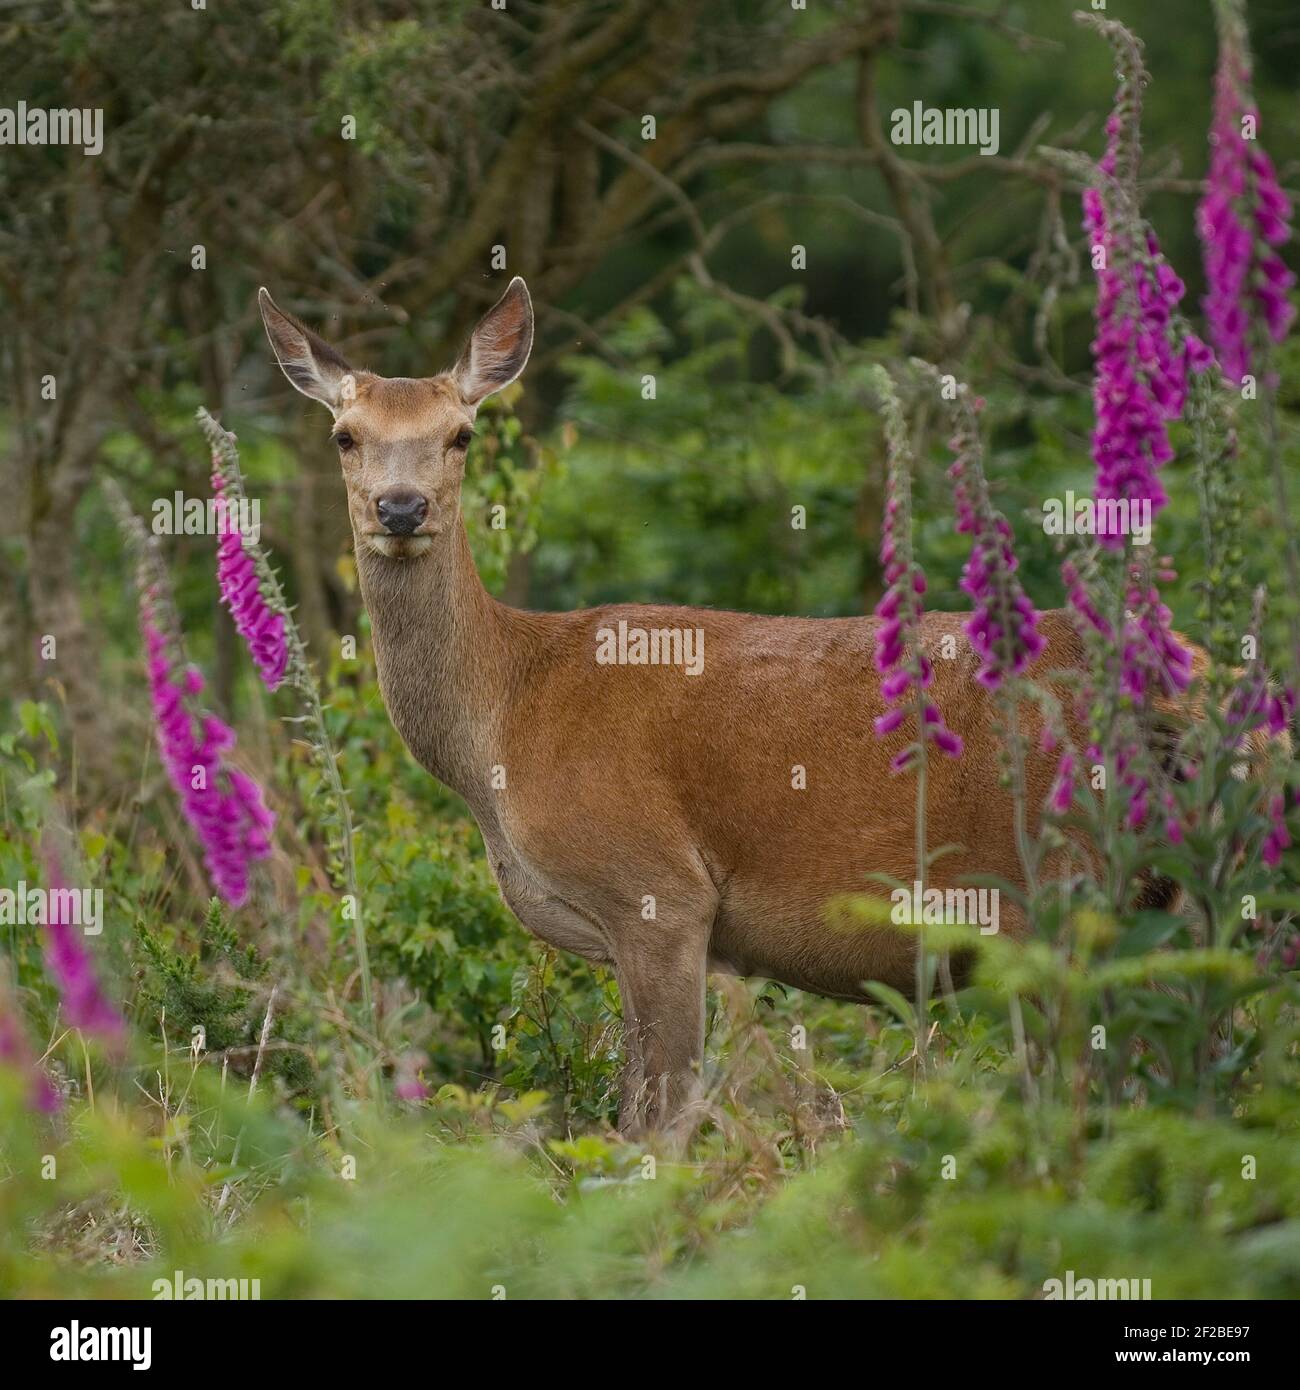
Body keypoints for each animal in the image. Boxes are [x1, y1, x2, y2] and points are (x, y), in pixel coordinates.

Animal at [257, 276, 1212, 1134]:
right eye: (345, 435)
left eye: (460, 435)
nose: (401, 506)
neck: (504, 717)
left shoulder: (659, 889)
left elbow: (659, 1116)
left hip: (1065, 882)